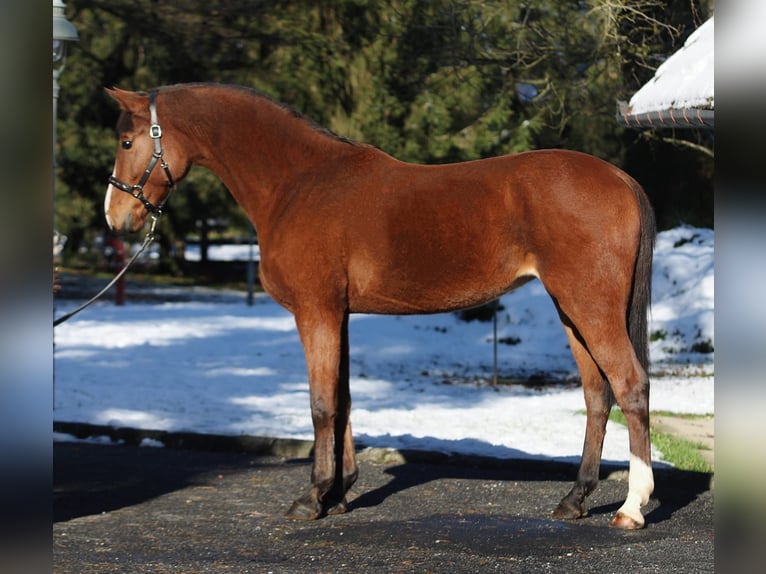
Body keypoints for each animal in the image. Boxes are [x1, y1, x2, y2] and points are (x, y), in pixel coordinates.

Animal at [102, 84, 656, 532]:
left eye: (127, 142)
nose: (116, 217)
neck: (299, 182)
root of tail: (622, 179)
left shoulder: (316, 311)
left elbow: (321, 404)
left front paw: (311, 498)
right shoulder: (338, 313)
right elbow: (343, 398)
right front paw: (340, 493)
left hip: (589, 307)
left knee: (630, 386)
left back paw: (631, 508)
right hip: (571, 310)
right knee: (597, 395)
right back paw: (574, 500)